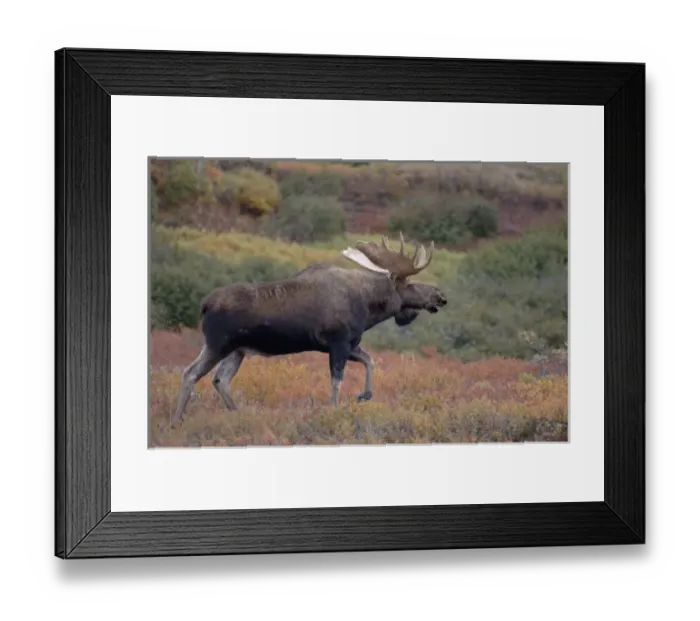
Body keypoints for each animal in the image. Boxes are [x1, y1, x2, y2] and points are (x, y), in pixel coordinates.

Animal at [170, 232, 447, 425]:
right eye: (410, 284)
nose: (440, 296)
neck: (369, 307)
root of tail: (204, 305)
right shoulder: (338, 342)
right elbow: (336, 382)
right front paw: (336, 411)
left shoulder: (348, 344)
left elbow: (371, 361)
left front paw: (364, 395)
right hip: (218, 343)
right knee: (190, 373)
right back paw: (176, 421)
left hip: (237, 350)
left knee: (220, 379)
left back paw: (238, 414)